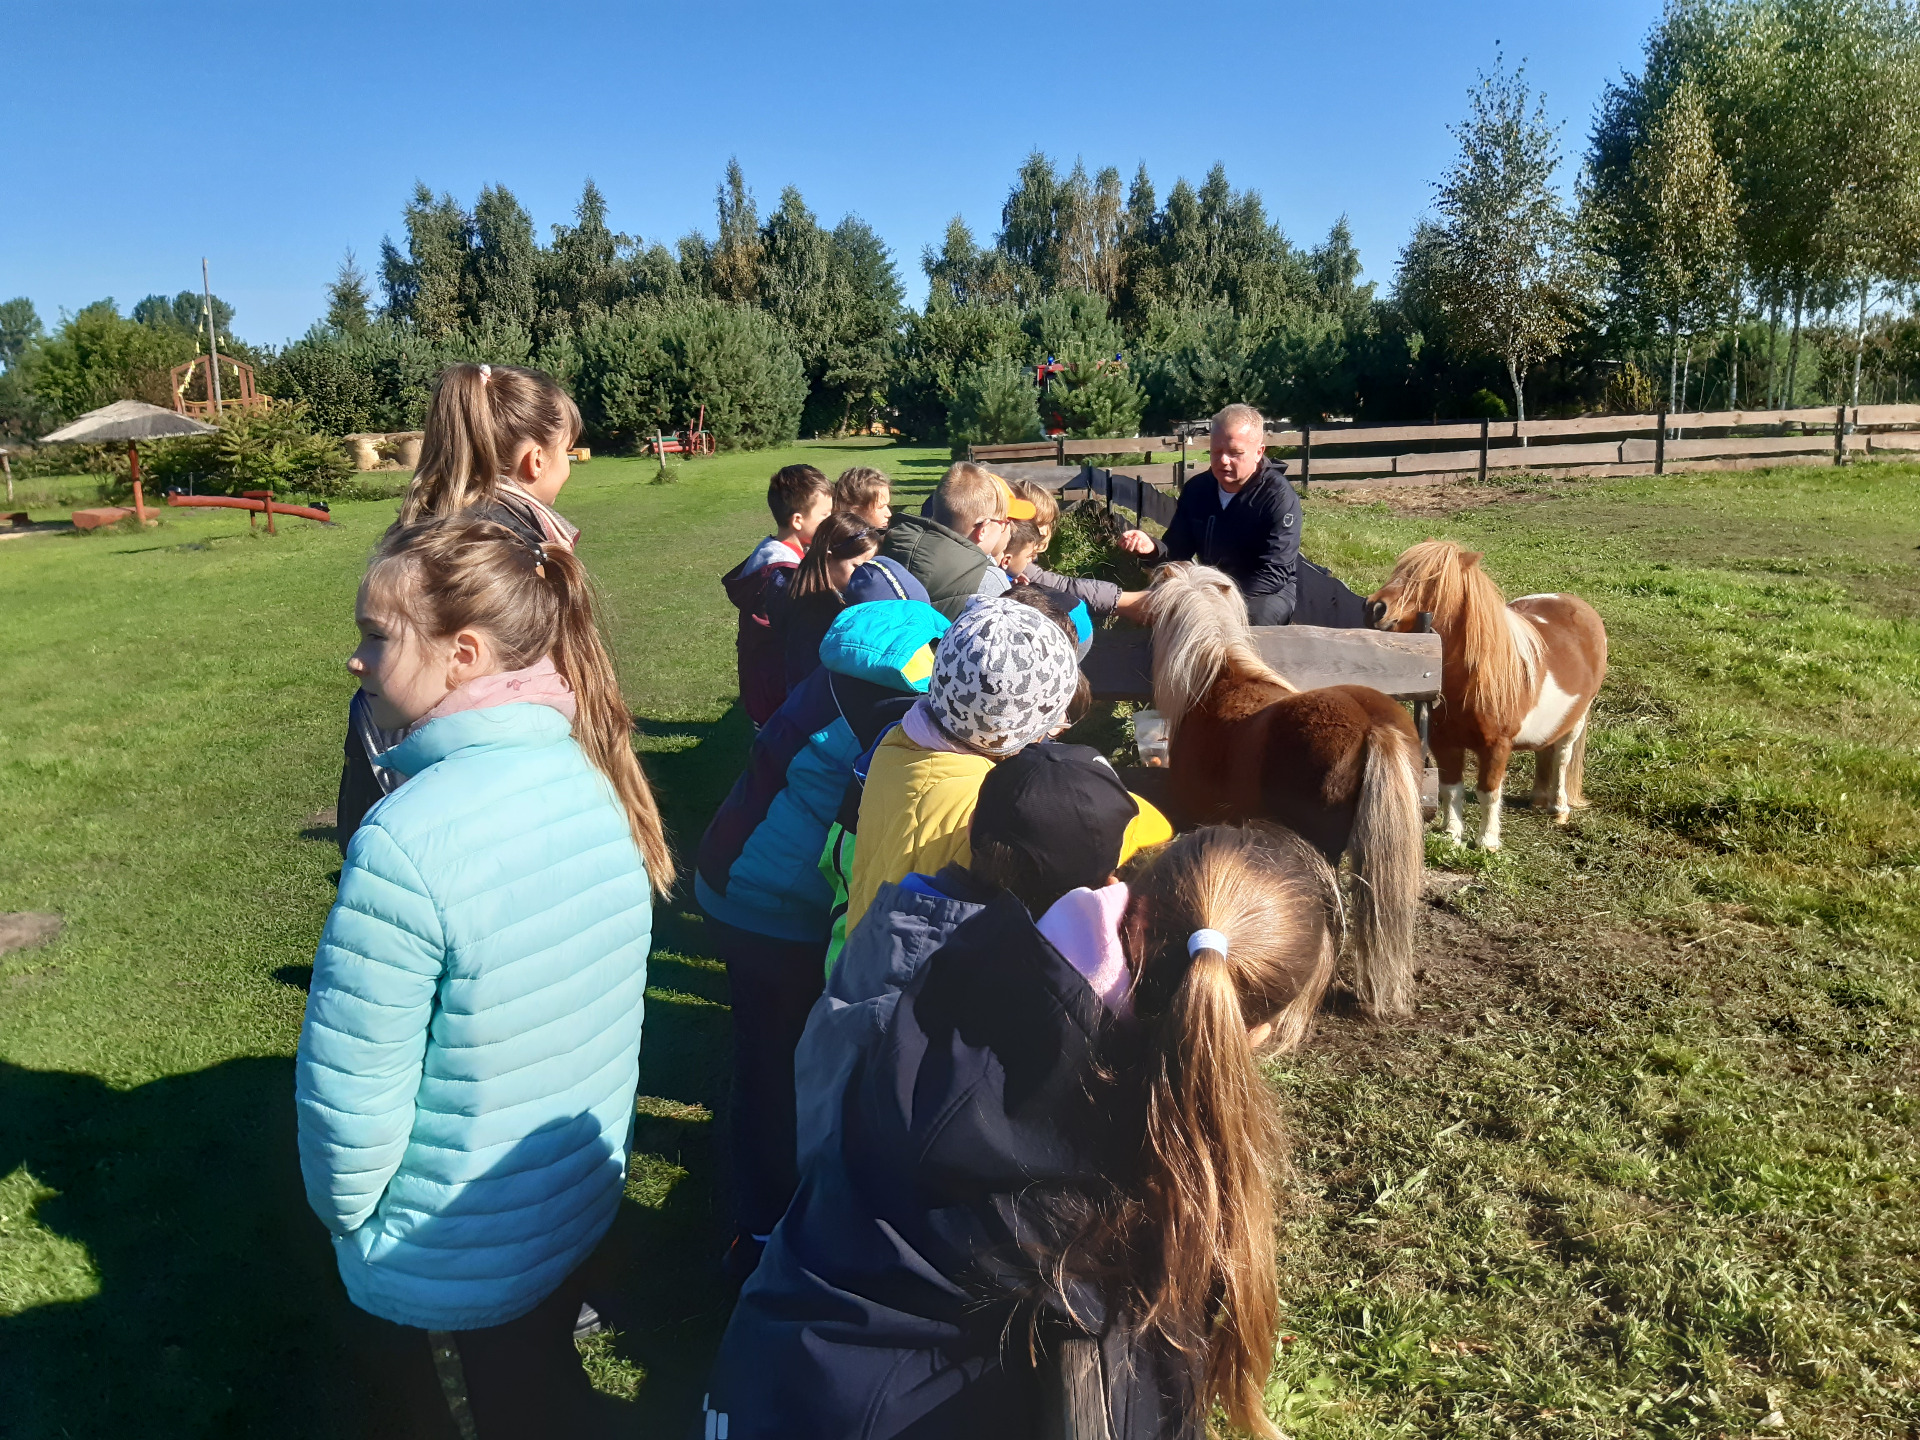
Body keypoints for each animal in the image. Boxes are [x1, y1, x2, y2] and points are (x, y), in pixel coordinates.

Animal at [1367, 541, 1605, 856]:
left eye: (1433, 579)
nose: (1374, 607)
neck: (1472, 679)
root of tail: (1578, 605)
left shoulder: (1496, 746)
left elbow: (1488, 792)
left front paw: (1487, 841)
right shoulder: (1445, 743)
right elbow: (1451, 788)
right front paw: (1452, 834)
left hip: (1574, 722)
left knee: (1562, 760)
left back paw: (1558, 808)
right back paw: (1538, 799)